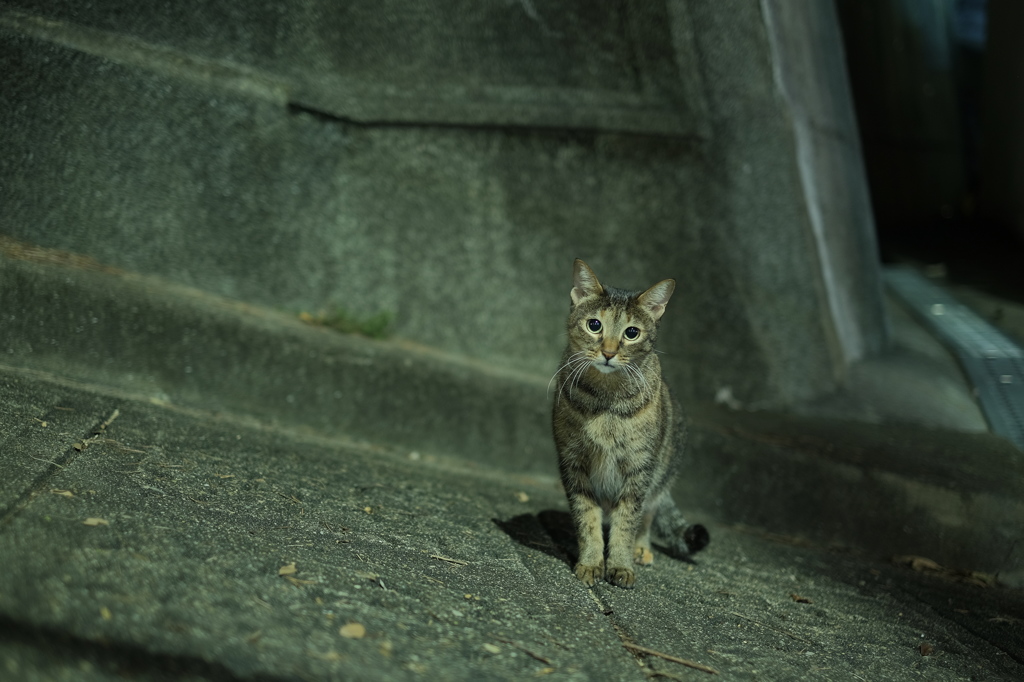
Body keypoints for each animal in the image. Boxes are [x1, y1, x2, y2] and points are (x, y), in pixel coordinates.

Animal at [548, 258, 708, 585]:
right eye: (594, 325)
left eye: (631, 332)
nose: (609, 352)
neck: (606, 400)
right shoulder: (573, 463)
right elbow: (587, 519)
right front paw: (591, 562)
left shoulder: (639, 468)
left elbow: (627, 522)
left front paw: (620, 564)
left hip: (661, 475)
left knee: (647, 516)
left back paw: (641, 549)